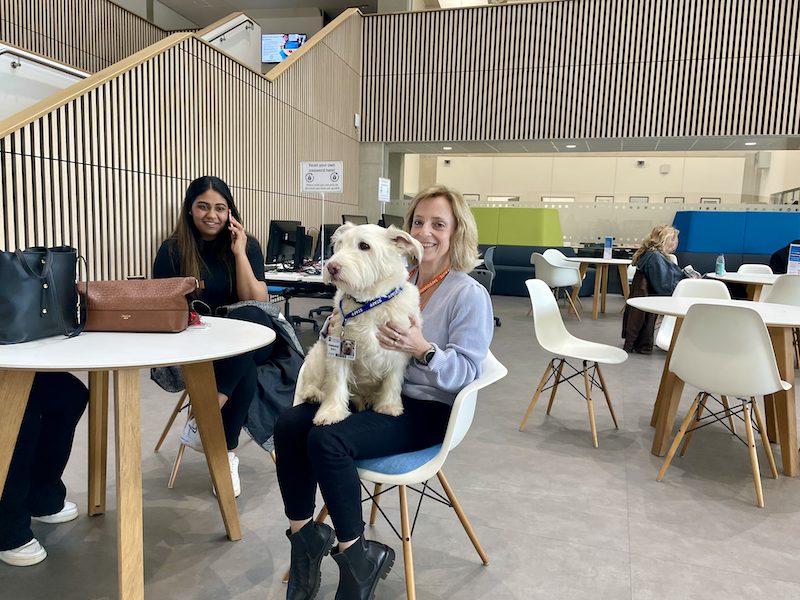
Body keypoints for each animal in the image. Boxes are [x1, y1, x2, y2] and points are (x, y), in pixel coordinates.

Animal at [296, 223, 424, 424]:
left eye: (364, 246)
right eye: (340, 244)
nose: (331, 267)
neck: (369, 302)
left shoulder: (398, 350)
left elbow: (393, 381)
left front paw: (389, 406)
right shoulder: (338, 353)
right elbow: (337, 383)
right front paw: (331, 412)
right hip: (318, 355)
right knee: (314, 381)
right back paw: (313, 393)